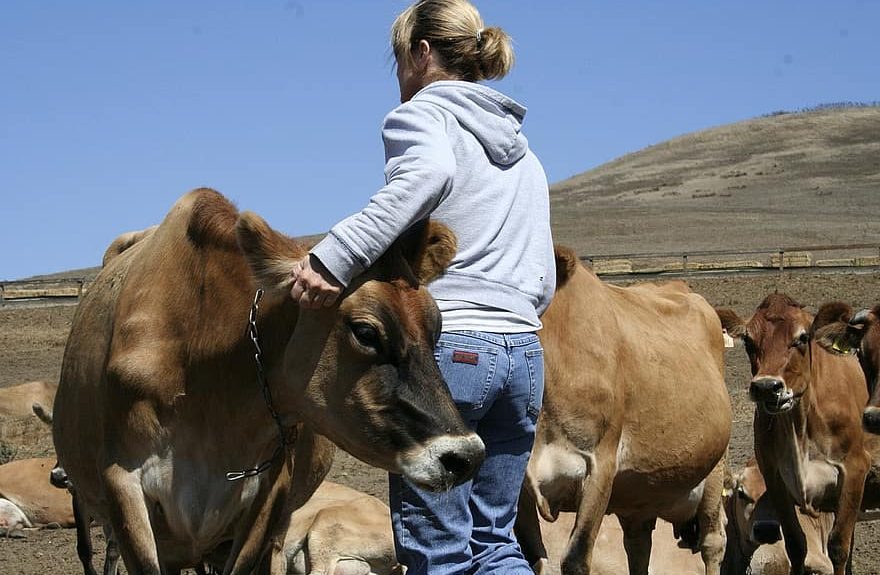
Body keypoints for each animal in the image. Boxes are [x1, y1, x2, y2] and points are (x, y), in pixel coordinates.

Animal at [520, 248, 732, 575]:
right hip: (640, 496)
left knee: (712, 543)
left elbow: (576, 557)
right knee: (638, 544)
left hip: (715, 470)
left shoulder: (600, 465)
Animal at [720, 296, 868, 575]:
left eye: (802, 337)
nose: (767, 387)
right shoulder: (776, 477)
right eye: (749, 340)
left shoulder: (854, 470)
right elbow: (796, 544)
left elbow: (838, 546)